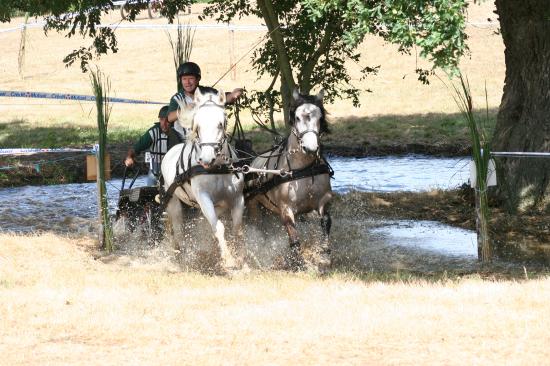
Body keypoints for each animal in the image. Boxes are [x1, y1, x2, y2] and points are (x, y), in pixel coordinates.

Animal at [160, 88, 246, 272]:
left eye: (220, 124)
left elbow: (237, 229)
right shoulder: (204, 198)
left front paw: (241, 258)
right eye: (197, 126)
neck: (218, 168)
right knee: (178, 229)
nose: (206, 159)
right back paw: (180, 256)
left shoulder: (237, 198)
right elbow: (218, 227)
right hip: (173, 201)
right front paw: (228, 259)